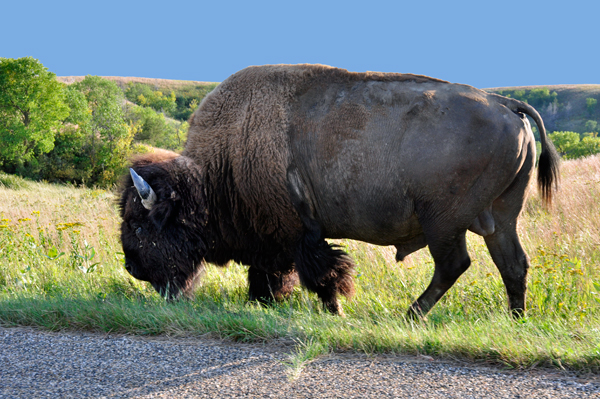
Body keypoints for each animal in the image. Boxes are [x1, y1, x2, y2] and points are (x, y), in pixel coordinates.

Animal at [119, 63, 560, 318]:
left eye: (140, 225)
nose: (132, 268)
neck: (214, 173)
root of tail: (505, 103)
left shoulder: (300, 232)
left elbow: (321, 272)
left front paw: (333, 309)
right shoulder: (280, 240)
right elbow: (276, 272)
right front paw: (267, 302)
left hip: (443, 222)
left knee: (454, 264)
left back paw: (410, 315)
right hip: (500, 217)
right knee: (512, 264)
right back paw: (515, 319)